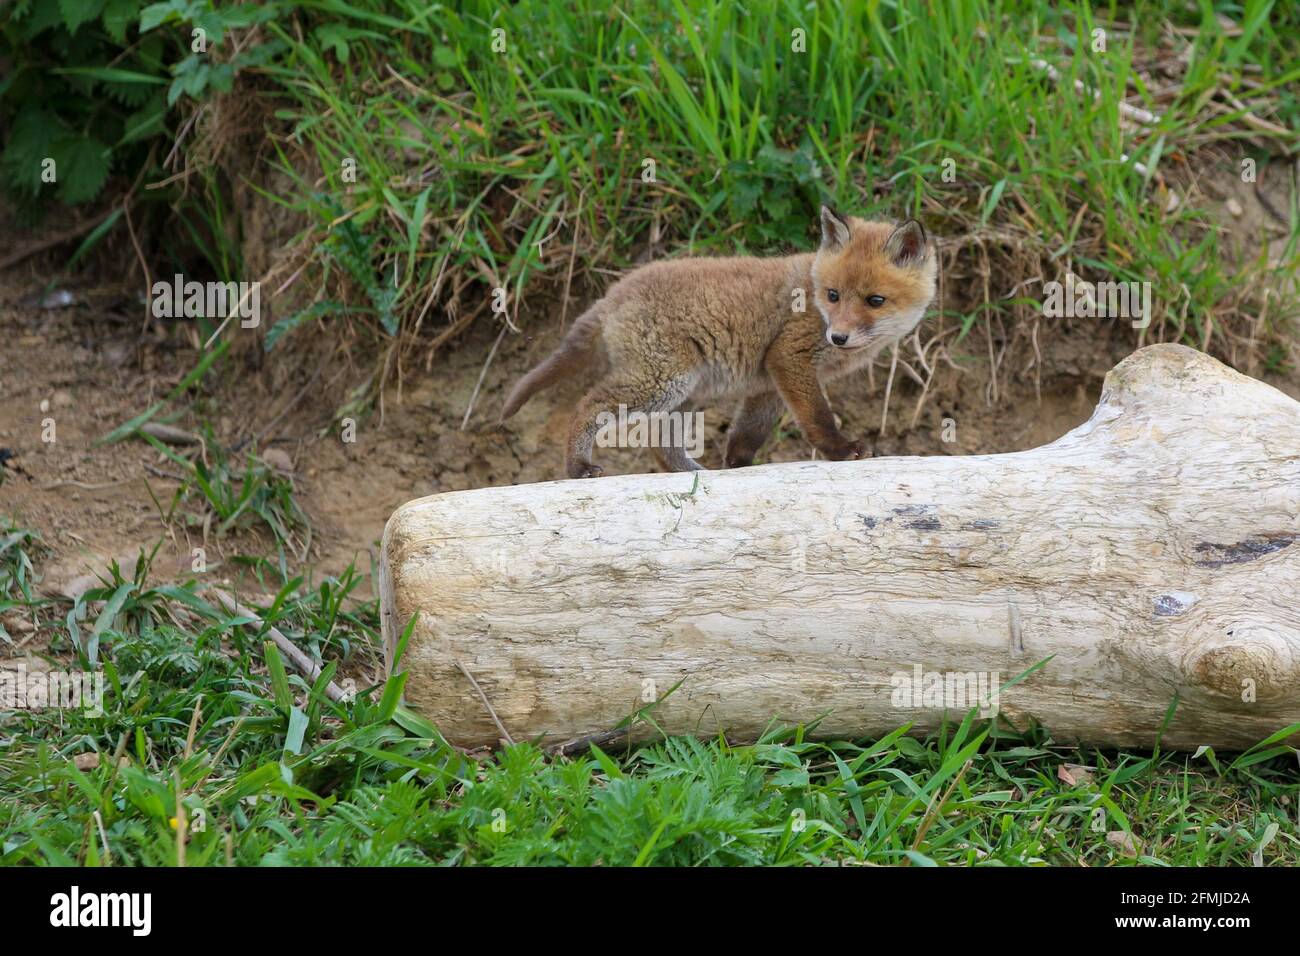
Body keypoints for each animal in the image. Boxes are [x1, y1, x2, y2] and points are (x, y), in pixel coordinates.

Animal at [500, 206, 938, 478]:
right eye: (833, 295)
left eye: (875, 300)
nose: (838, 336)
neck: (811, 295)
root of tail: (612, 293)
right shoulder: (789, 357)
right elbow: (818, 419)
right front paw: (841, 450)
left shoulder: (768, 383)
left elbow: (747, 434)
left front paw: (737, 468)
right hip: (662, 382)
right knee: (588, 404)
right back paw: (577, 468)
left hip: (682, 393)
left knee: (659, 443)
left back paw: (693, 475)